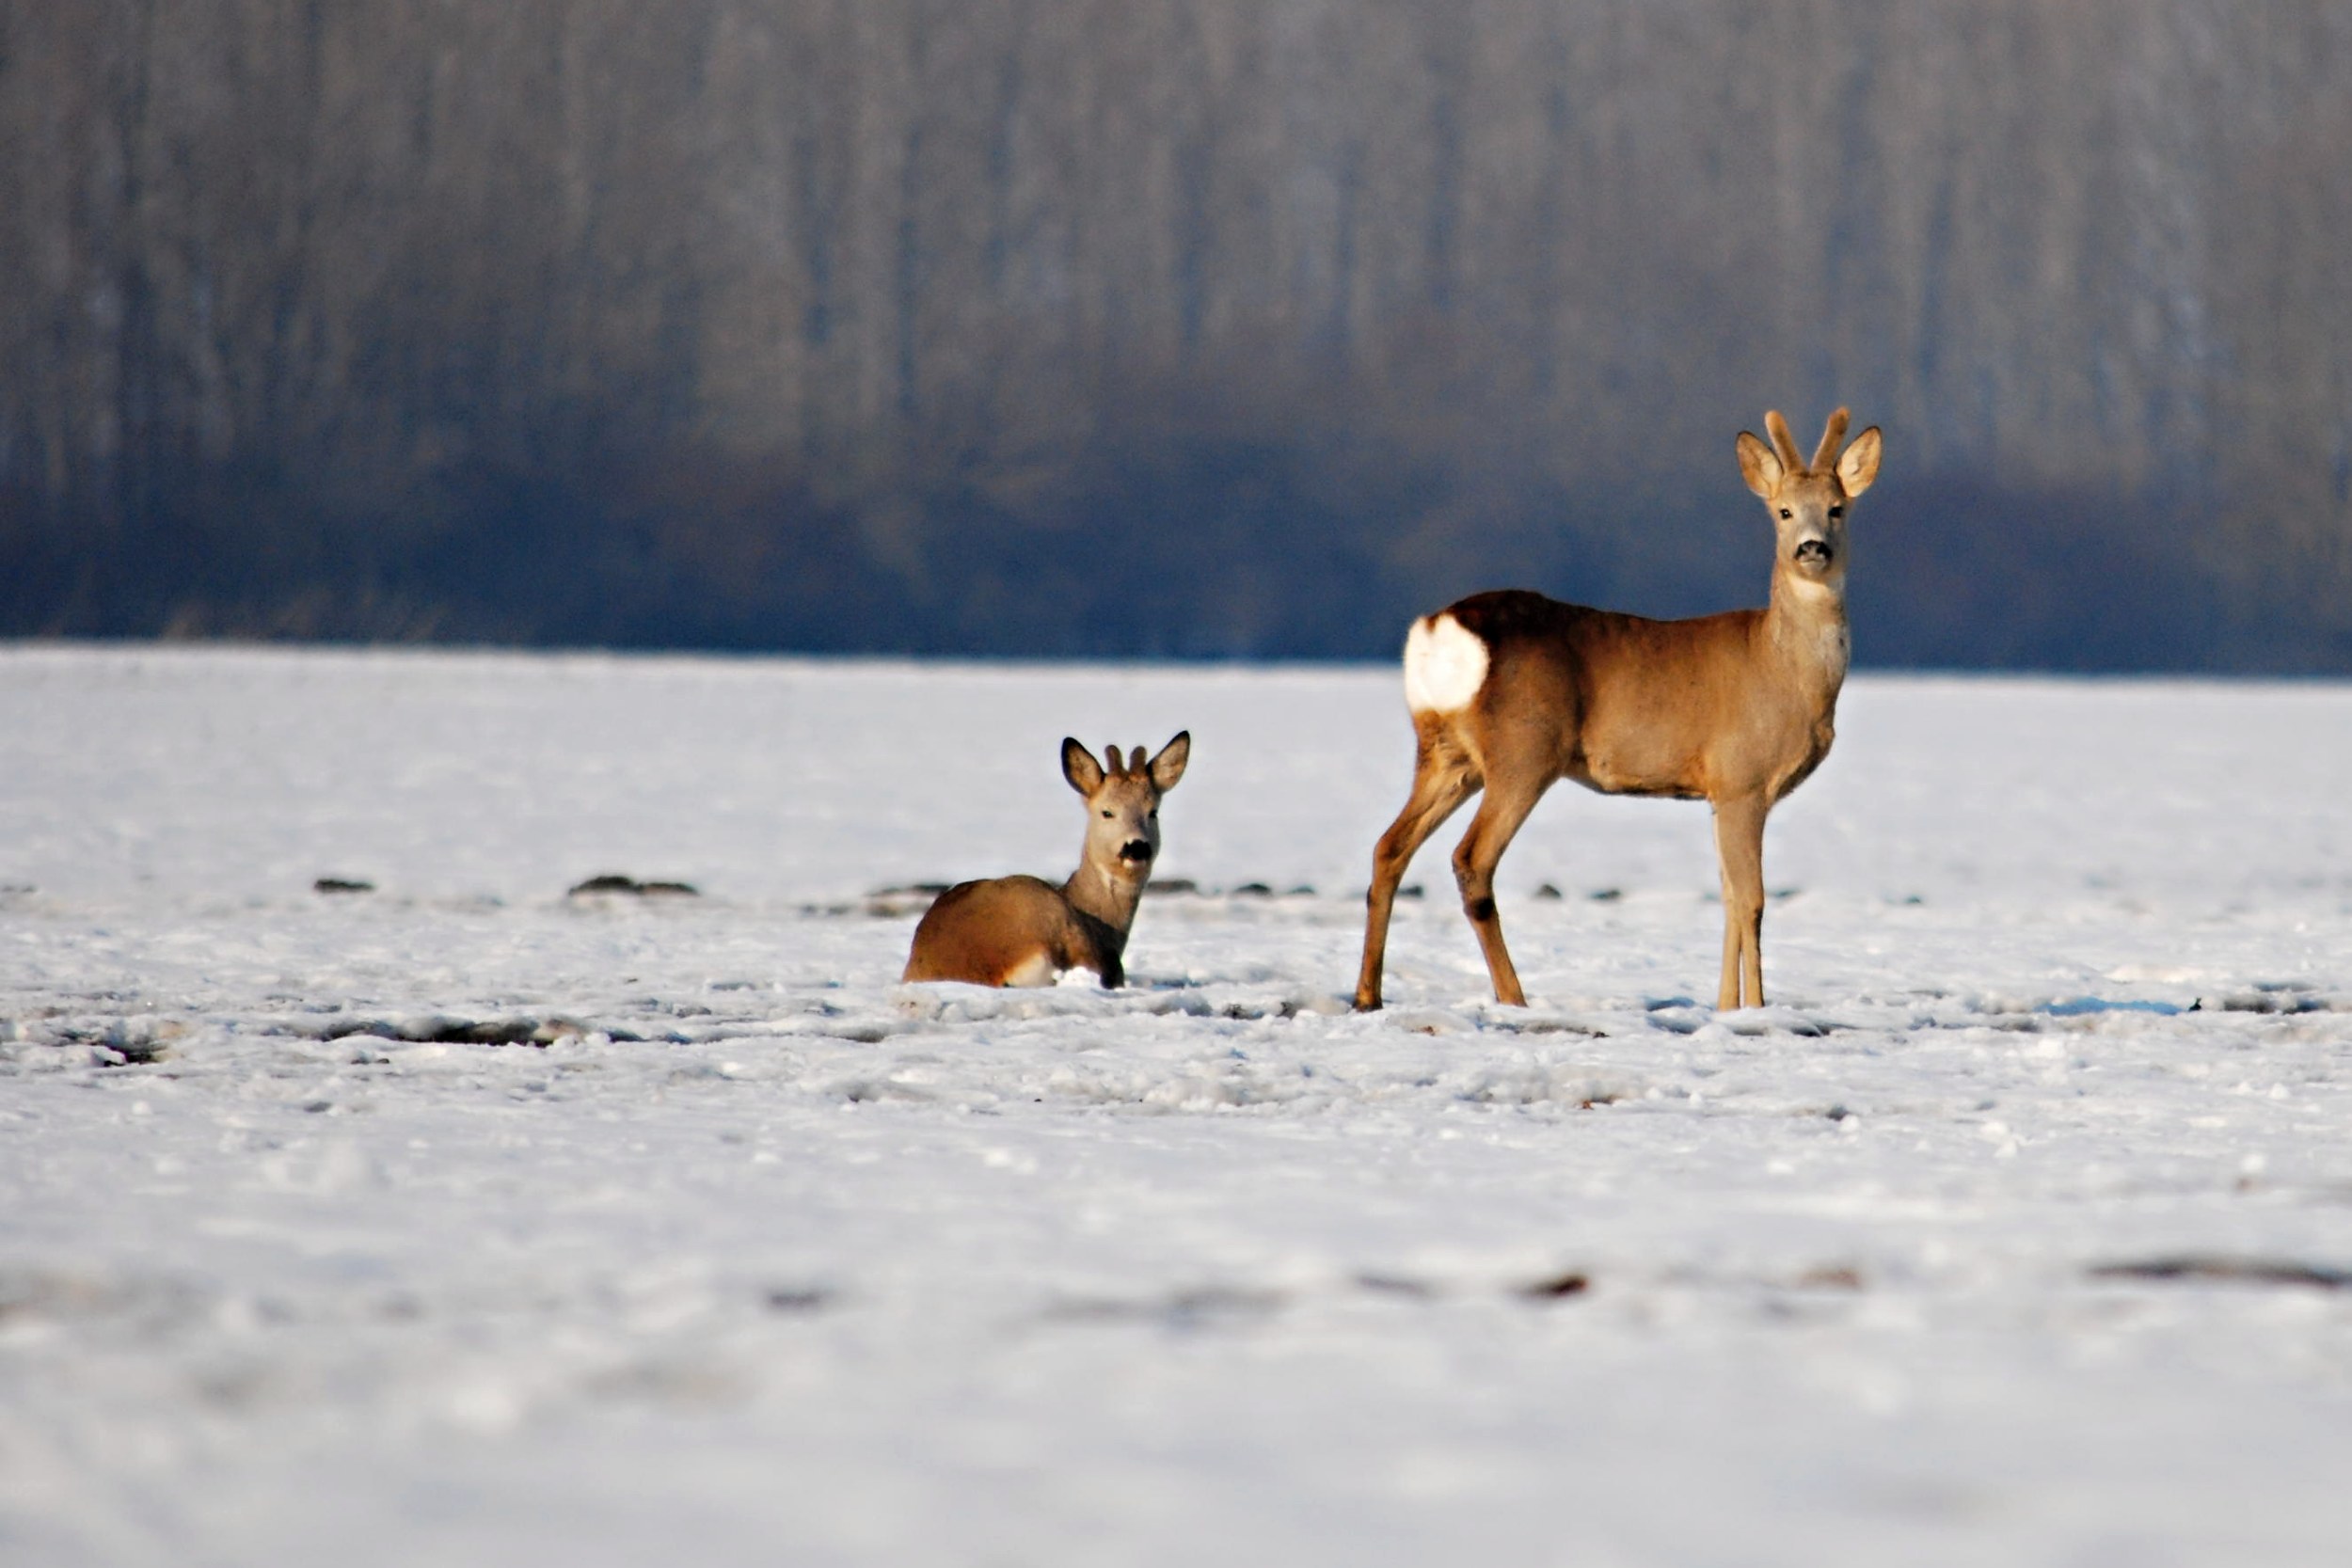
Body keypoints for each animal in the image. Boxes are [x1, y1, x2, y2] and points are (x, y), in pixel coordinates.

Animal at [1355, 411, 1882, 1010]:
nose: (1812, 548)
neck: (1786, 670)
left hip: (1446, 753)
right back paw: (1515, 998)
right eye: (1784, 511)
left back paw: (1368, 996)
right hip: (1525, 750)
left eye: (1837, 508)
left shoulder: (1718, 792)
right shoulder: (1741, 778)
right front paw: (1755, 1009)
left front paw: (1726, 1007)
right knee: (1471, 860)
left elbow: (1726, 898)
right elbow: (1752, 900)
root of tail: (1440, 628)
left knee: (1389, 847)